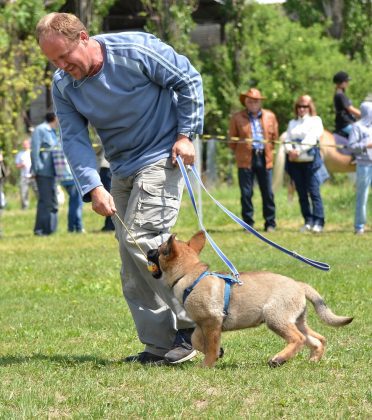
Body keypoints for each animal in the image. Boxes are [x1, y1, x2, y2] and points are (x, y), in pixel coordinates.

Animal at [147, 230, 354, 368]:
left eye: (158, 250)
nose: (148, 251)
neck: (189, 275)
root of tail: (300, 285)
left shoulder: (212, 322)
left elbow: (210, 346)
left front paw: (207, 364)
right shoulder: (202, 324)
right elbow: (197, 340)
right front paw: (218, 353)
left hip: (275, 317)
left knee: (298, 339)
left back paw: (278, 359)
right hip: (297, 320)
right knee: (317, 339)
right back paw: (313, 360)